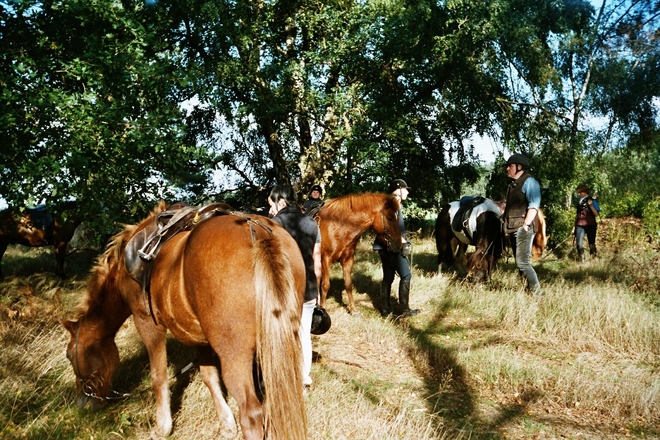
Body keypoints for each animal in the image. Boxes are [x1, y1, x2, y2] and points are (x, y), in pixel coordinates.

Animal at [61, 201, 306, 438]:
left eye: (70, 355)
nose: (81, 402)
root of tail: (255, 229)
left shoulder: (147, 324)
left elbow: (158, 376)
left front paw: (162, 426)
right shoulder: (198, 336)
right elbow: (209, 376)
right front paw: (226, 423)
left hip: (234, 353)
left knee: (251, 414)